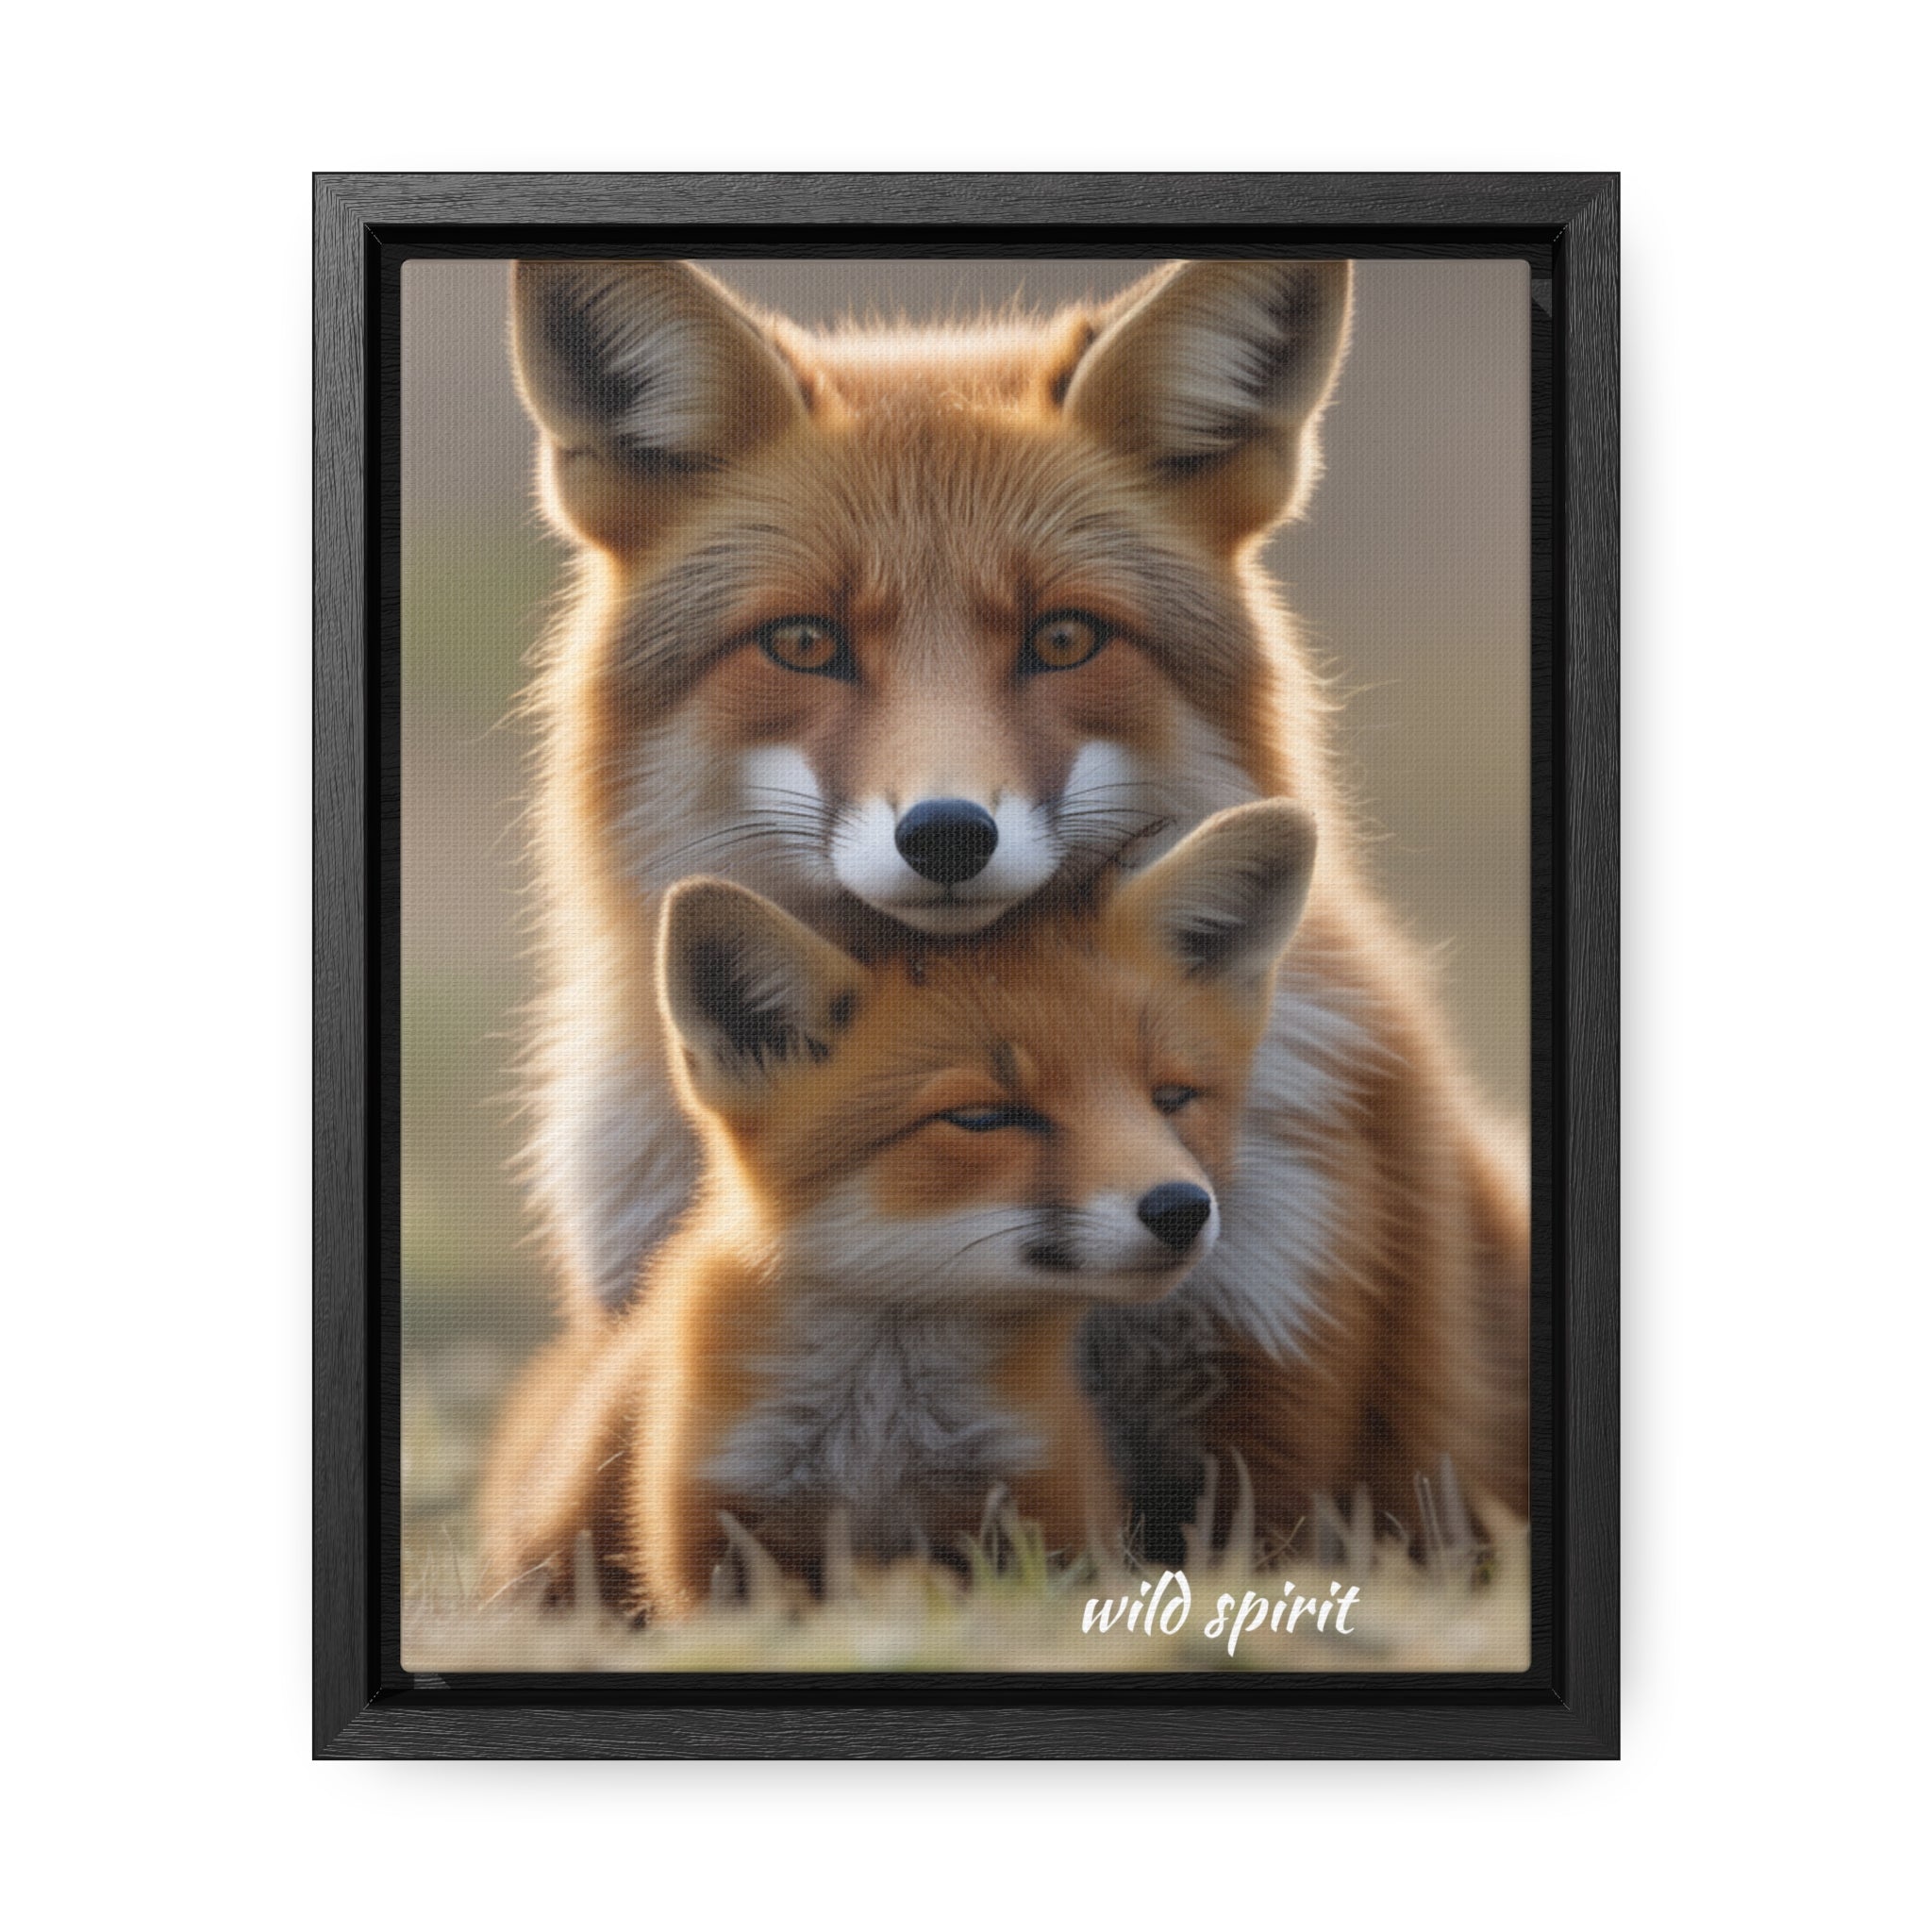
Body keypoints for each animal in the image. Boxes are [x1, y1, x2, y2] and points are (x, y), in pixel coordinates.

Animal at [480, 803, 1319, 1615]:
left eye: (1172, 1099)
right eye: (982, 1118)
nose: (1181, 1209)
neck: (881, 1437)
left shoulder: (1045, 1515)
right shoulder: (716, 1539)